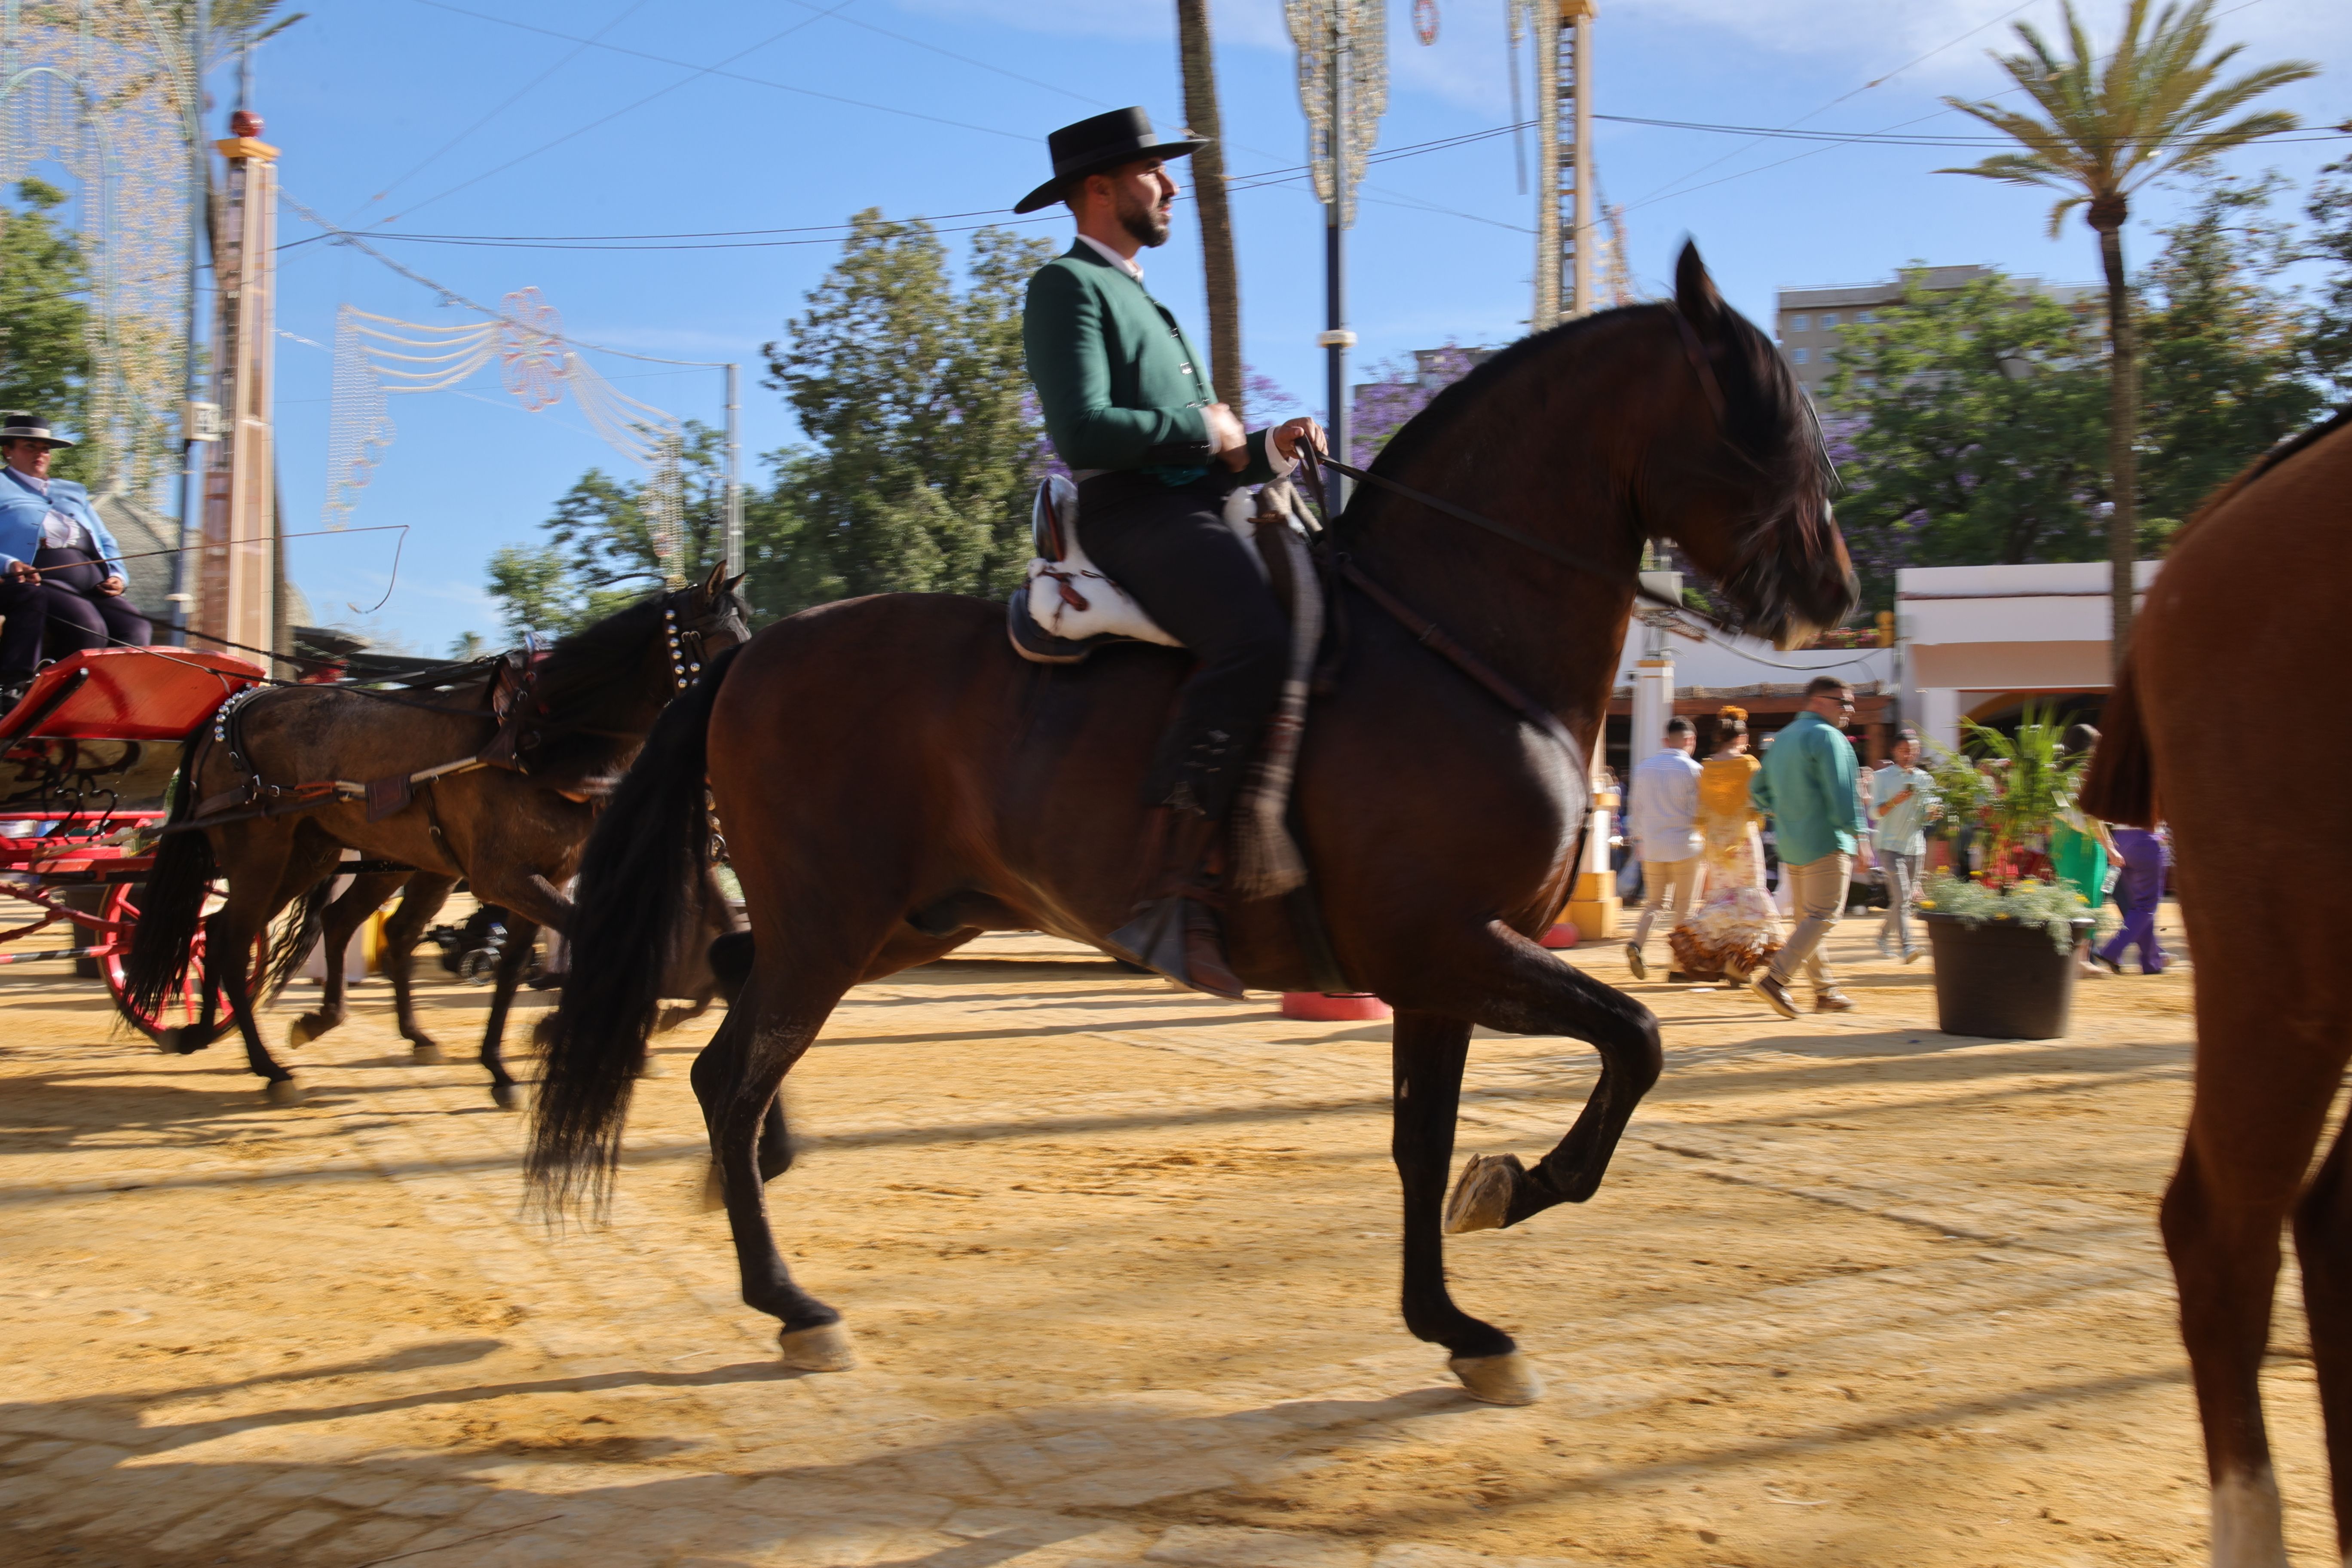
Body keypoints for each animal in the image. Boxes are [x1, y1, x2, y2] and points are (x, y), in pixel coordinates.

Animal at [120, 566, 749, 1107]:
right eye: (718, 641)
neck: (538, 738)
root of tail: (236, 706)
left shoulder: (542, 877)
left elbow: (512, 969)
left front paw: (499, 1064)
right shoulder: (506, 878)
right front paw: (619, 1025)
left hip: (331, 856)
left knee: (308, 927)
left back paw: (247, 1029)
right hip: (261, 856)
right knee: (231, 938)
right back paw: (268, 1065)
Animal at [527, 243, 1855, 1402]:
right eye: (1759, 414)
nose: (1832, 591)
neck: (1449, 637)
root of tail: (751, 658)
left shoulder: (1436, 972)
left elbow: (1423, 1143)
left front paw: (1454, 1325)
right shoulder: (1446, 945)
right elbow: (1634, 1039)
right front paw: (1512, 1191)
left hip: (907, 918)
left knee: (730, 998)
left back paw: (756, 1184)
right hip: (837, 921)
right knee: (731, 1070)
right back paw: (791, 1301)